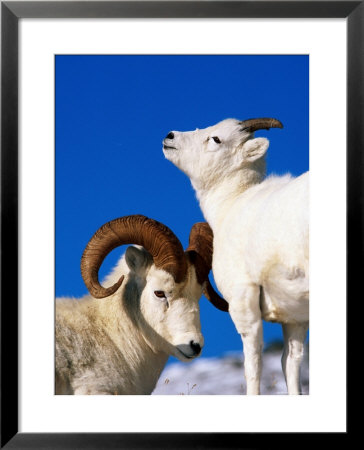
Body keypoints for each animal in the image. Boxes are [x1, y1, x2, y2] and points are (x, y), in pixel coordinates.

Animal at [164, 118, 308, 394]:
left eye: (216, 139)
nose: (170, 136)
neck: (231, 204)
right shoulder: (294, 317)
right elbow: (291, 363)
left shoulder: (244, 303)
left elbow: (253, 364)